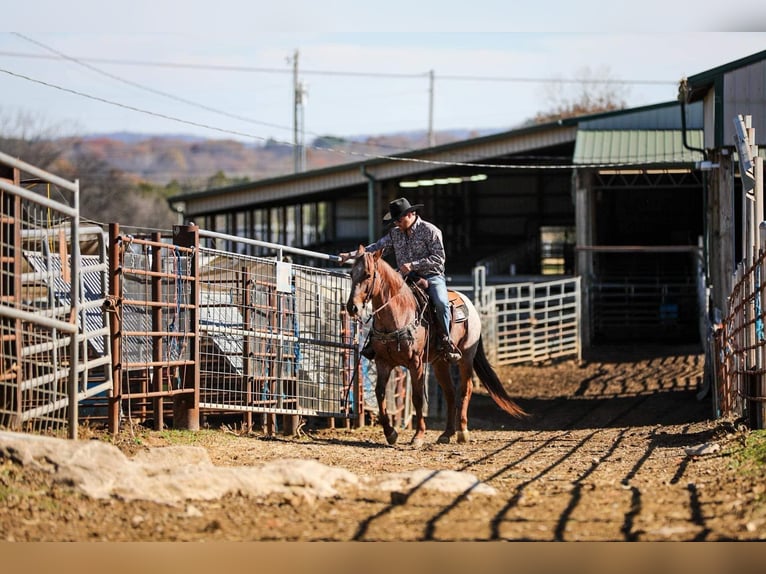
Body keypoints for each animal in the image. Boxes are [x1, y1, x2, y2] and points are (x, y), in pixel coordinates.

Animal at [345, 245, 527, 447]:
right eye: (351, 273)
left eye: (368, 274)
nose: (352, 307)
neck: (398, 314)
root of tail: (469, 303)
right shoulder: (383, 362)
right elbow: (380, 394)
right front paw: (390, 432)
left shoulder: (415, 363)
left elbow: (417, 398)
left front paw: (418, 436)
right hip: (440, 363)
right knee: (450, 393)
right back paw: (447, 433)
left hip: (466, 357)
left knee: (465, 389)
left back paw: (462, 432)